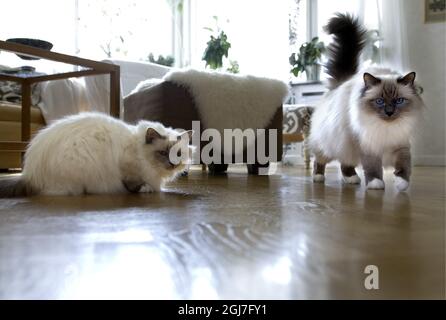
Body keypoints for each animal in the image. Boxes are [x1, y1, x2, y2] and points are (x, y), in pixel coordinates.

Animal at [0, 112, 192, 198]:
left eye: (178, 154)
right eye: (163, 153)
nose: (173, 164)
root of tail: (28, 175)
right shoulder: (128, 166)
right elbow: (134, 183)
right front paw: (146, 189)